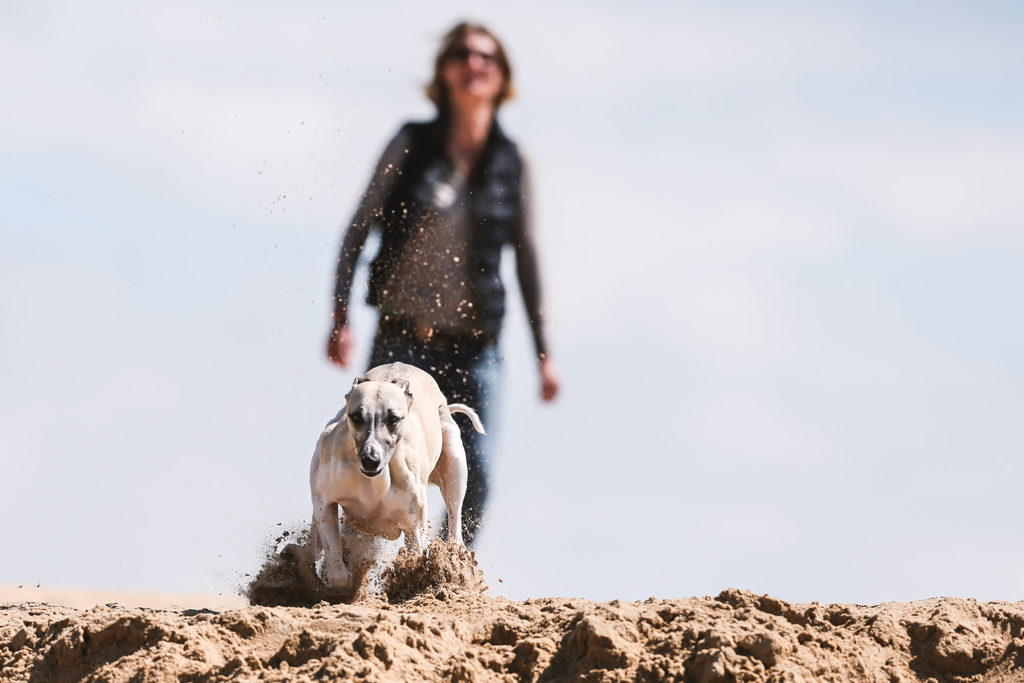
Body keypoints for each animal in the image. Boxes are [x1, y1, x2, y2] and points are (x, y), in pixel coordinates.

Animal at [307, 362, 483, 593]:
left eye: (393, 419)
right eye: (356, 417)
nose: (370, 460)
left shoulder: (413, 526)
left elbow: (415, 559)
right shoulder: (323, 500)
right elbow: (337, 568)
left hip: (454, 460)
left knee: (455, 523)